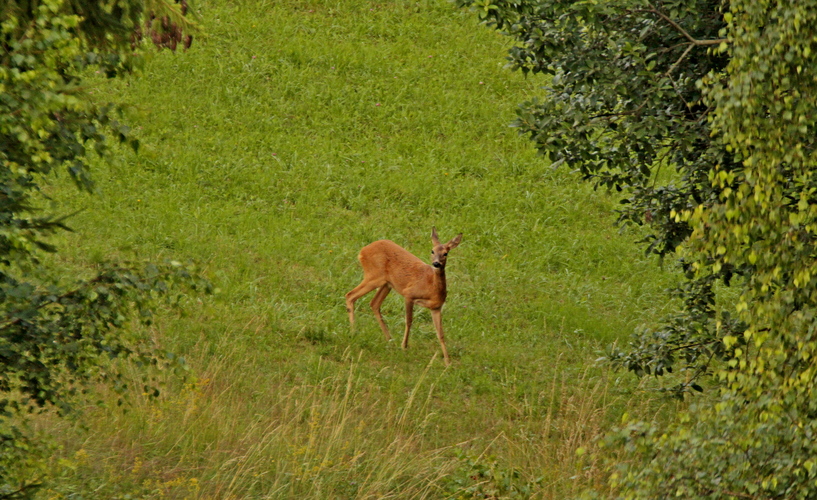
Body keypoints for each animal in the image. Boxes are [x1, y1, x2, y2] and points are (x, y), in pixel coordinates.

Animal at [342, 229, 462, 366]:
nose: (436, 263)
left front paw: (447, 361)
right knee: (350, 295)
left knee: (374, 303)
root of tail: (363, 251)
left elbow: (440, 333)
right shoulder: (408, 294)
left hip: (387, 283)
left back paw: (389, 339)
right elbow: (409, 321)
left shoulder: (436, 307)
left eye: (445, 253)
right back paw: (353, 332)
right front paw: (404, 346)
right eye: (432, 251)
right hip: (374, 276)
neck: (431, 286)